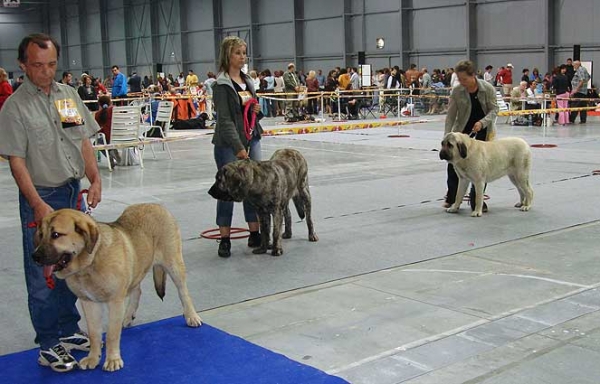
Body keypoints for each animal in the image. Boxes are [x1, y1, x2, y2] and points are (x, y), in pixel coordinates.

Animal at [32, 204, 202, 372]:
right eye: (41, 235)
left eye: (56, 234)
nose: (35, 257)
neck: (90, 261)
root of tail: (158, 206)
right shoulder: (89, 303)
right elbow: (94, 333)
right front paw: (93, 358)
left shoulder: (115, 302)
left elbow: (112, 334)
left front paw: (113, 360)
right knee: (137, 291)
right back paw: (127, 317)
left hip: (173, 264)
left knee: (183, 292)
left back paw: (192, 317)